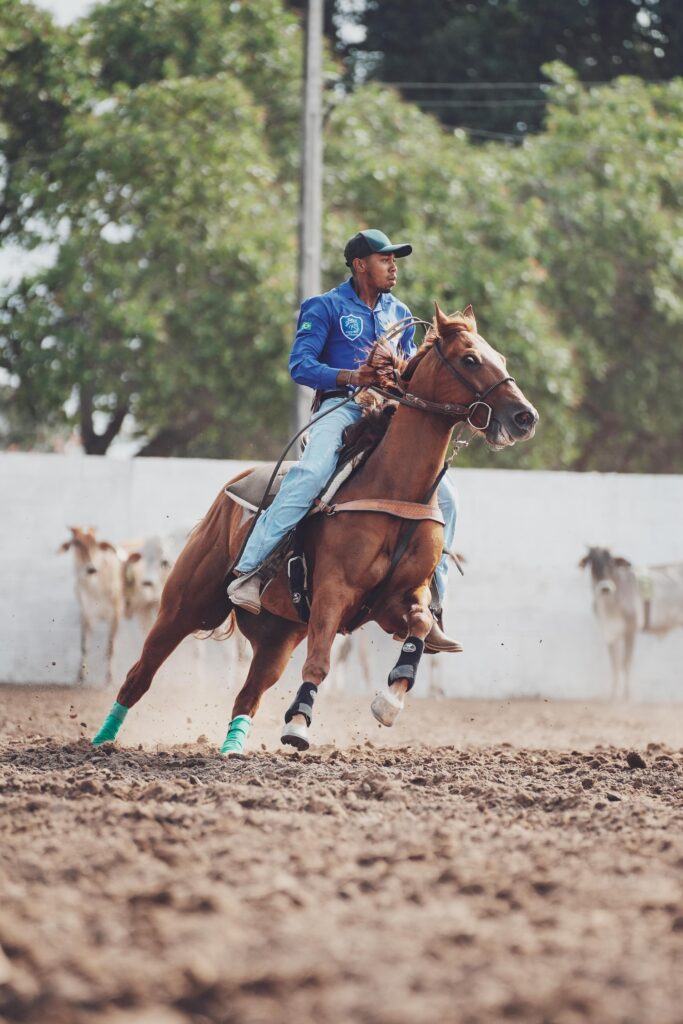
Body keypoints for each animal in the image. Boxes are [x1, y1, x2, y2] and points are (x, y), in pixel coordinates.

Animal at [59, 528, 123, 688]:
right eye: (76, 543)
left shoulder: (116, 615)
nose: (91, 568)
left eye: (95, 543)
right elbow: (84, 647)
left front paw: (109, 680)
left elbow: (110, 648)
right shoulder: (85, 615)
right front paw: (80, 678)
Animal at [90, 303, 540, 753]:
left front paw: (389, 702)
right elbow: (320, 662)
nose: (525, 417)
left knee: (248, 694)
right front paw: (298, 723)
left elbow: (421, 624)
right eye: (470, 358)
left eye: (501, 358)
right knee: (140, 674)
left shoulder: (395, 601)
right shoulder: (333, 590)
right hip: (184, 607)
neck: (395, 487)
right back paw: (102, 738)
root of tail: (233, 486)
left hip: (279, 634)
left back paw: (232, 748)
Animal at [581, 548, 683, 700]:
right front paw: (612, 695)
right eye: (593, 564)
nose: (605, 588)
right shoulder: (610, 633)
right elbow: (615, 664)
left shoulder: (631, 630)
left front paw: (626, 696)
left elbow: (625, 663)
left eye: (611, 563)